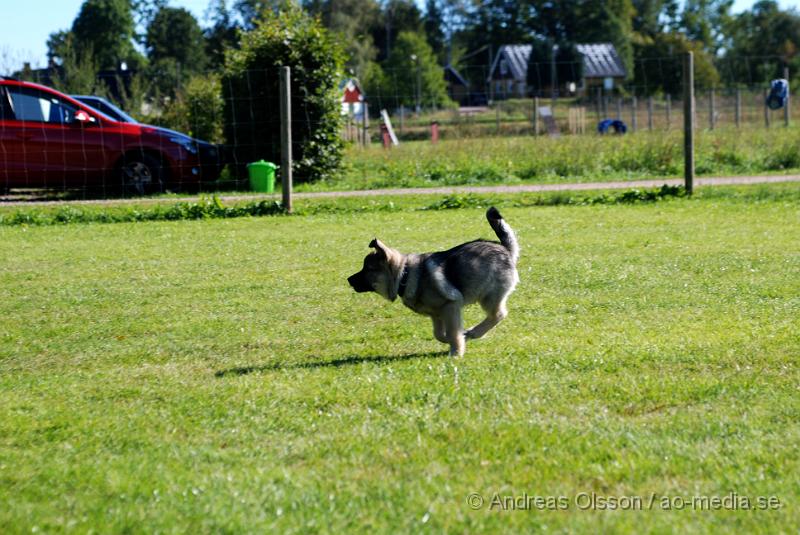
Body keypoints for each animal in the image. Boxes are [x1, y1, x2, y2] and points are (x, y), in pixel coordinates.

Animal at [348, 207, 520, 358]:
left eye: (367, 269)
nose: (348, 279)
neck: (404, 275)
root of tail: (505, 248)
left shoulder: (451, 305)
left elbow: (452, 332)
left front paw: (456, 352)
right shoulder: (436, 315)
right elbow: (439, 334)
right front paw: (459, 339)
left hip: (488, 296)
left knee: (498, 314)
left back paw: (474, 332)